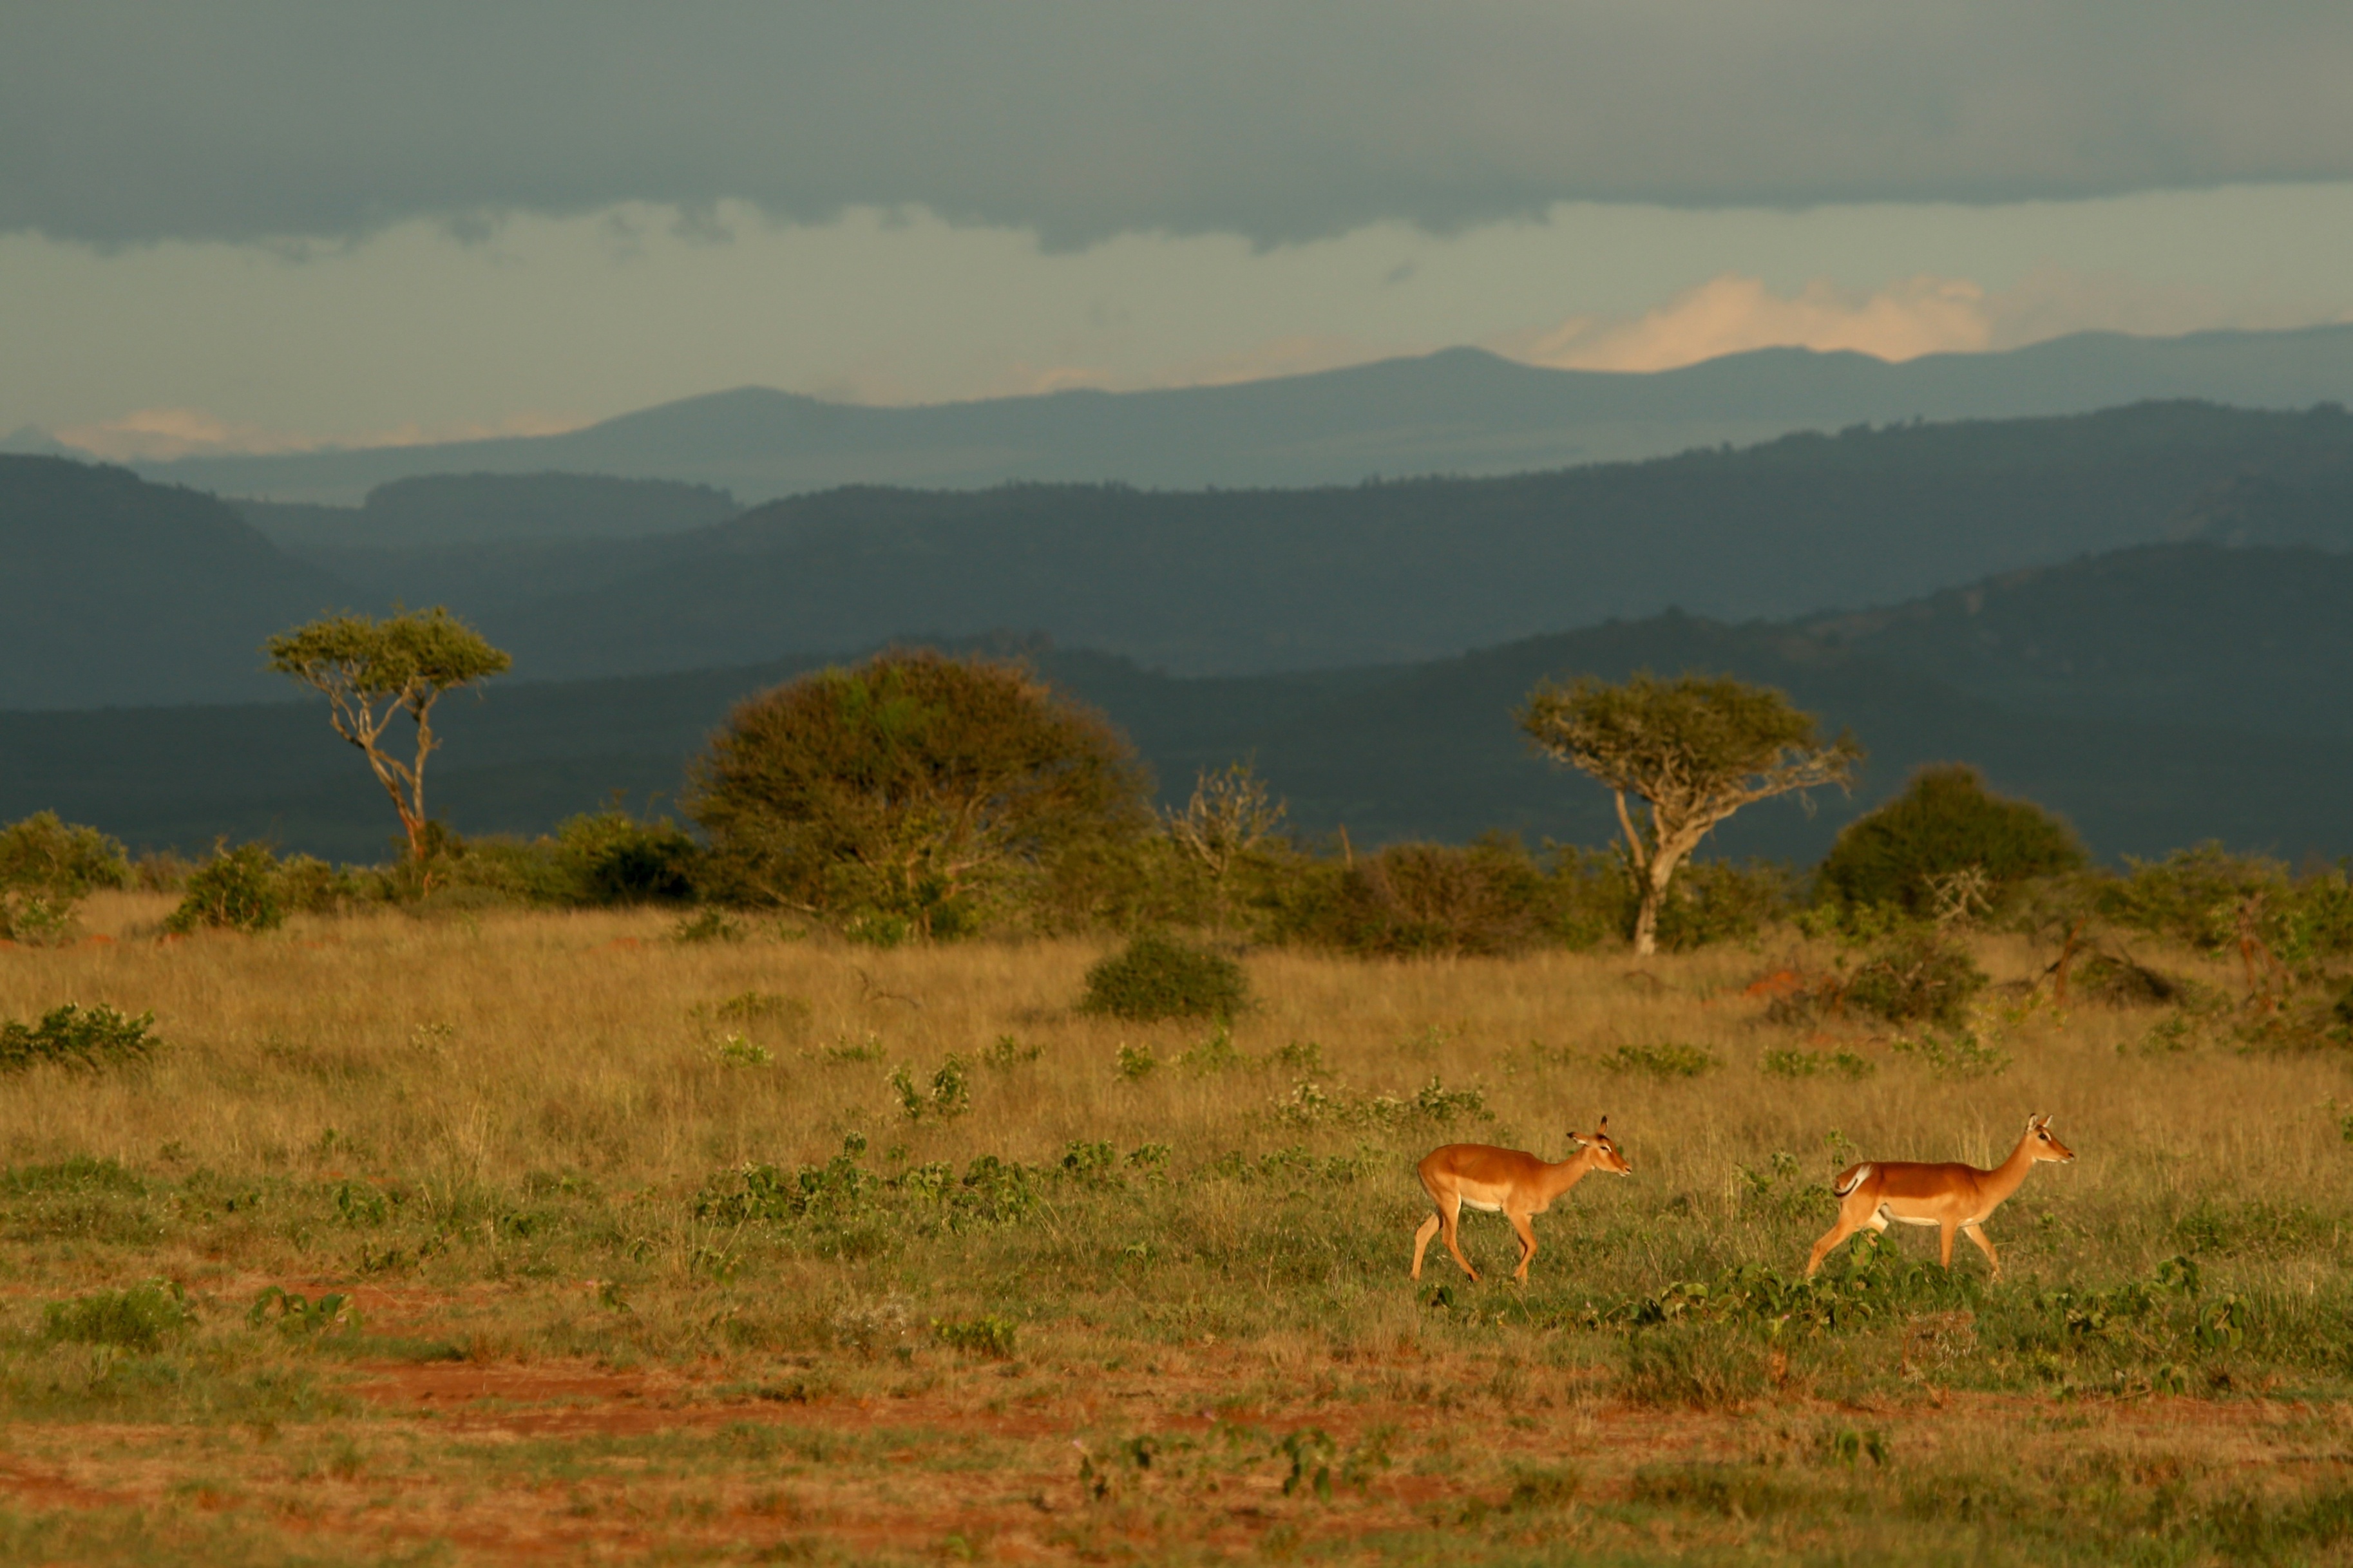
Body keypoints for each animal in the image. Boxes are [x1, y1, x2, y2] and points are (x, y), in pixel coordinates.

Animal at [1410, 1120, 1633, 1283]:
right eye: (1604, 1147)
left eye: (1613, 1145)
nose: (1628, 1168)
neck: (1544, 1176)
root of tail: (1423, 1163)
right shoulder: (1513, 1213)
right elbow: (1533, 1245)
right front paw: (1514, 1277)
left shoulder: (1527, 1217)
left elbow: (1524, 1247)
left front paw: (1523, 1284)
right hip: (1451, 1205)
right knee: (1449, 1239)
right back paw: (1476, 1277)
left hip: (1443, 1208)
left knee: (1422, 1233)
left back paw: (1416, 1277)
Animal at [1804, 1114, 2076, 1280]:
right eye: (2042, 1135)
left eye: (2050, 1132)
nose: (2070, 1154)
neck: (1983, 1182)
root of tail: (1845, 1176)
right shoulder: (1948, 1224)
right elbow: (1945, 1260)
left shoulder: (1970, 1225)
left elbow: (1991, 1252)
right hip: (1852, 1220)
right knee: (1820, 1245)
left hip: (1877, 1224)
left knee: (1862, 1256)